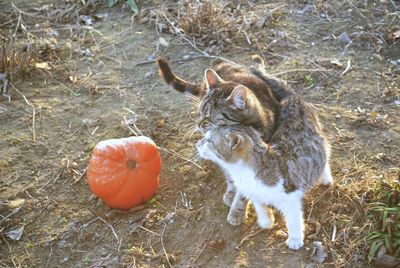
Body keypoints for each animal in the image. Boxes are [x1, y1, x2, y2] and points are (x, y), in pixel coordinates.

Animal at [195, 94, 332, 249]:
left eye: (208, 141)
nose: (197, 144)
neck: (242, 172)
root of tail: (295, 99)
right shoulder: (252, 191)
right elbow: (259, 205)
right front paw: (266, 220)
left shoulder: (290, 197)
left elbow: (293, 219)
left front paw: (295, 238)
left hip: (319, 140)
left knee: (325, 153)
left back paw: (326, 178)